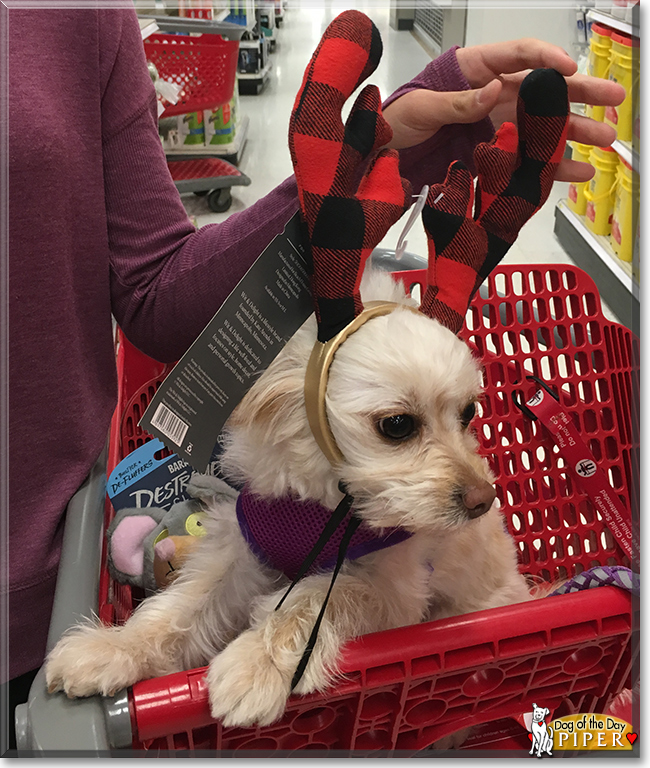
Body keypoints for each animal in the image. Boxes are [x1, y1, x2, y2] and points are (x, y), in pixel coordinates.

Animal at [46, 270, 532, 728]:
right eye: (397, 425)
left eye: (468, 412)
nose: (482, 499)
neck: (325, 506)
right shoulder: (242, 552)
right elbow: (184, 602)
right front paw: (117, 647)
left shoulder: (394, 595)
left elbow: (312, 598)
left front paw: (255, 662)